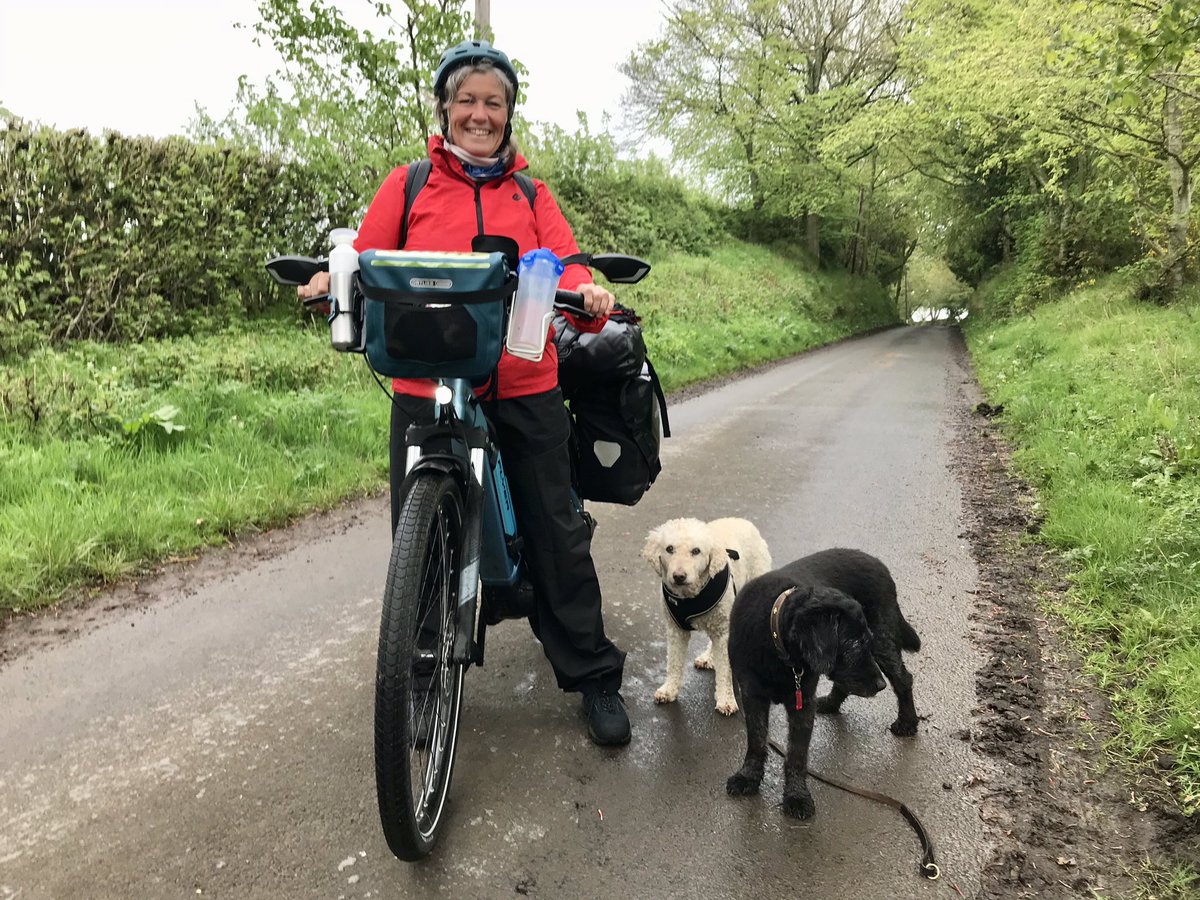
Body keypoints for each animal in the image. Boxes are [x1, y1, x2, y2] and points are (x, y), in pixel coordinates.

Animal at [643, 518, 772, 715]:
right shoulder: (676, 631)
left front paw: (726, 699)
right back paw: (709, 657)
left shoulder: (723, 630)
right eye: (669, 548)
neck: (690, 597)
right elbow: (673, 663)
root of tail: (742, 520)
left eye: (696, 551)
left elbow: (725, 669)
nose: (679, 576)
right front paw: (669, 690)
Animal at [724, 547, 921, 820]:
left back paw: (907, 722)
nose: (880, 685)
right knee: (847, 682)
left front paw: (797, 796)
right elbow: (756, 740)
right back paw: (831, 702)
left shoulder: (802, 703)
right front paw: (748, 777)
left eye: (865, 640)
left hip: (883, 640)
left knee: (903, 679)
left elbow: (796, 754)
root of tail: (877, 562)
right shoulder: (752, 696)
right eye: (854, 643)